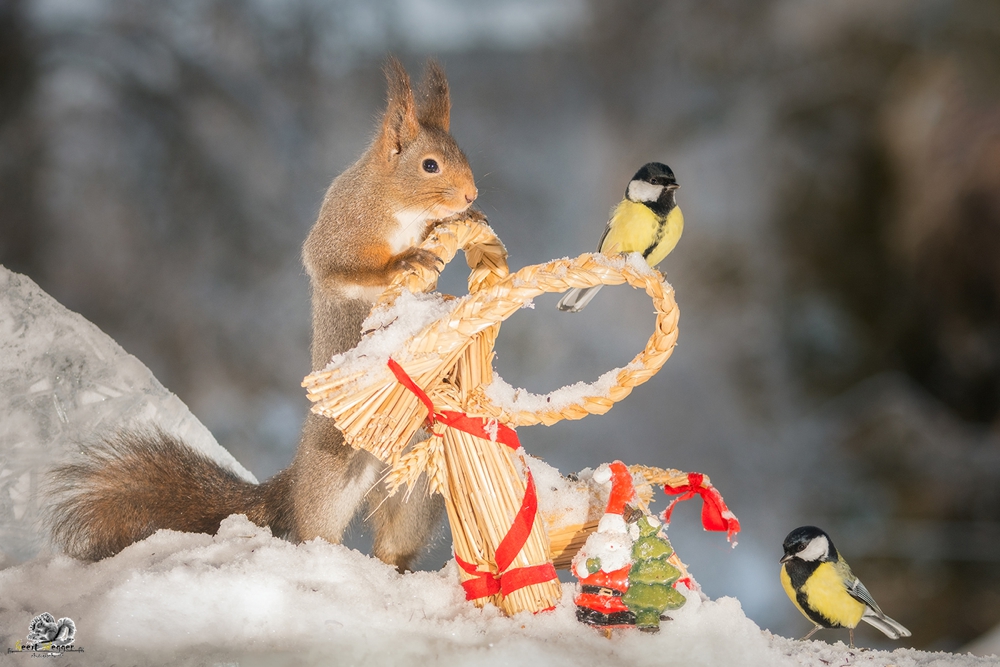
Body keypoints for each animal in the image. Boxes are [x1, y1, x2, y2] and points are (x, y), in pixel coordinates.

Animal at [50, 57, 480, 572]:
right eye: (429, 164)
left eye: (462, 153)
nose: (472, 196)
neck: (396, 204)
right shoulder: (341, 230)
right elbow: (338, 267)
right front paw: (405, 262)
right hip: (334, 464)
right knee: (312, 522)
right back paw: (326, 556)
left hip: (417, 485)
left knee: (393, 542)